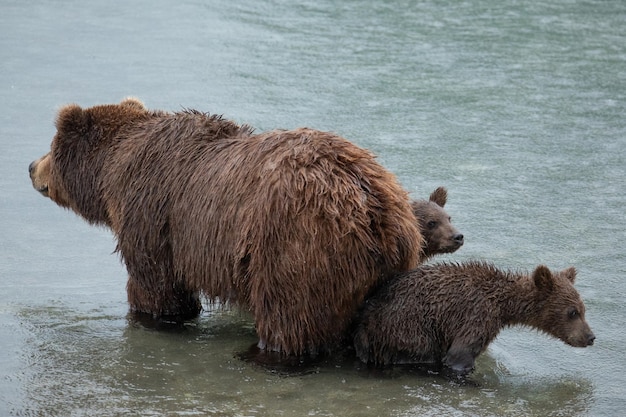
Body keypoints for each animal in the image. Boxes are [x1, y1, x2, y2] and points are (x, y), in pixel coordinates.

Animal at [26, 96, 422, 354]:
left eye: (51, 147)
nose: (30, 166)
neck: (112, 172)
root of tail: (375, 208)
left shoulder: (151, 211)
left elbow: (155, 282)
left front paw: (151, 316)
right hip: (389, 257)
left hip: (295, 243)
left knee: (290, 315)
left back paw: (265, 352)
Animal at [354, 260, 592, 374]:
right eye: (572, 312)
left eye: (584, 309)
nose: (590, 337)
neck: (502, 305)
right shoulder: (477, 315)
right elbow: (460, 355)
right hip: (406, 328)